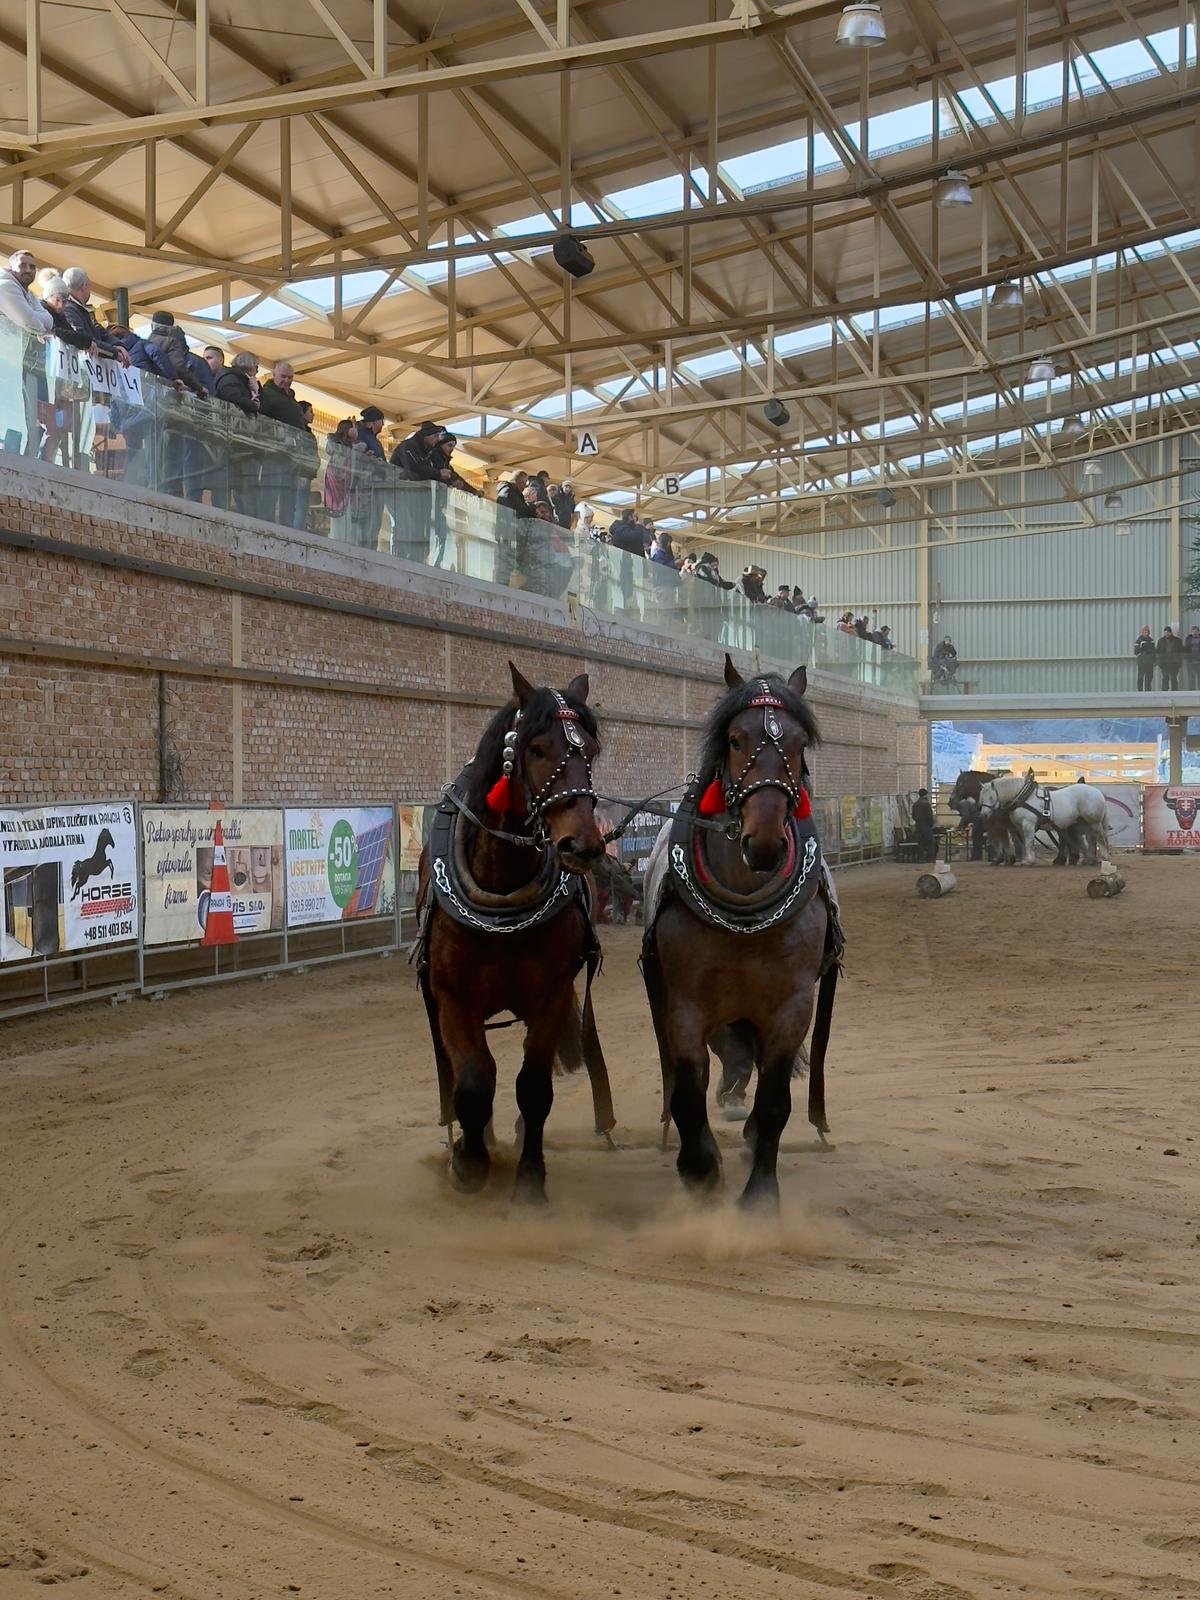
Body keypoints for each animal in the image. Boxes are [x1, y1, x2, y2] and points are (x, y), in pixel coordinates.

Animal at [415, 663, 615, 1201]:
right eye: (537, 749)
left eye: (590, 751)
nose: (582, 845)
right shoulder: (453, 998)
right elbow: (472, 1084)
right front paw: (469, 1162)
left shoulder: (550, 995)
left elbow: (534, 1088)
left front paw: (529, 1180)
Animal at [641, 656, 842, 1208]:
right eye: (735, 739)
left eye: (798, 743)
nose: (766, 841)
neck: (745, 924)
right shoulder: (685, 1005)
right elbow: (687, 1091)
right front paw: (700, 1169)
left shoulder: (790, 1008)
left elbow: (775, 1102)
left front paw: (760, 1197)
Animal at [978, 774, 1110, 867]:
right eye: (981, 797)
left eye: (991, 797)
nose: (983, 814)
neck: (1024, 798)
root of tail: (1097, 792)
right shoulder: (1019, 827)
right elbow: (1025, 842)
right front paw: (1026, 859)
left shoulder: (1028, 825)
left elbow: (1029, 842)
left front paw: (1029, 861)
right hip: (1084, 822)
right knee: (1092, 840)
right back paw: (1090, 860)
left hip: (1094, 822)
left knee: (1101, 838)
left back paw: (1104, 857)